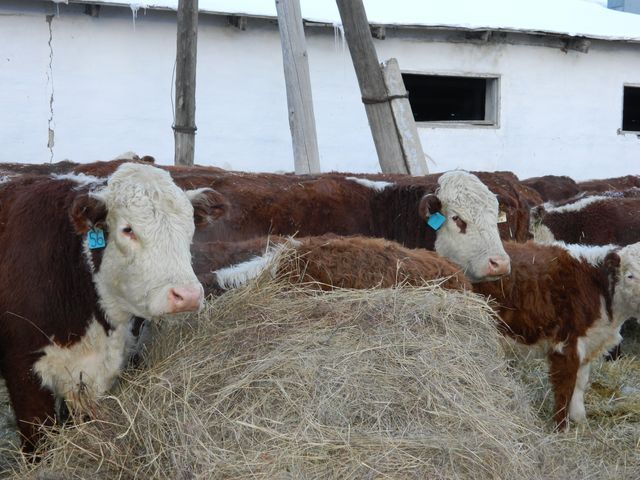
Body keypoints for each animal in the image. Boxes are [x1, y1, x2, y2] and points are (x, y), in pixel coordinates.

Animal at [470, 242, 640, 430]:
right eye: (630, 276)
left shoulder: (588, 344)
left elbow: (579, 384)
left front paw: (580, 420)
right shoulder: (566, 344)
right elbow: (565, 386)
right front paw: (561, 427)